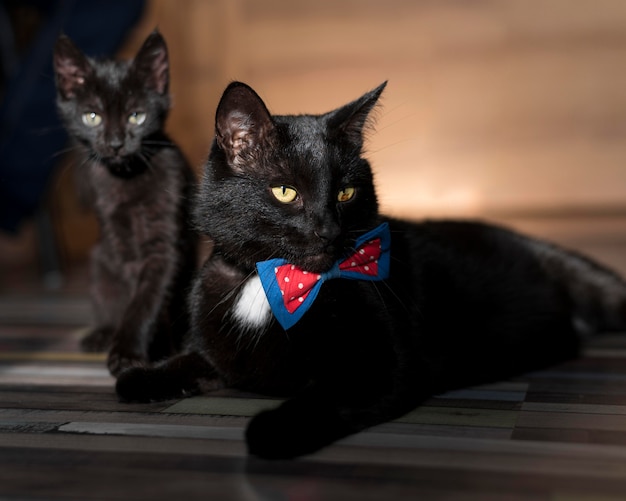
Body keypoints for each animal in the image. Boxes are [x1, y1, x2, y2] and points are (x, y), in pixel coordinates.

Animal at [53, 30, 196, 376]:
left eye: (136, 116)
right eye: (92, 117)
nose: (116, 144)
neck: (125, 178)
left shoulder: (164, 242)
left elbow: (147, 297)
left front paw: (133, 353)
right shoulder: (116, 236)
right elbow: (131, 295)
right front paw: (130, 344)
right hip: (99, 261)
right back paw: (101, 334)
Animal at [116, 81, 624, 458]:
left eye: (346, 192)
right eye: (285, 191)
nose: (326, 228)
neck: (268, 279)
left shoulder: (381, 367)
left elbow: (321, 397)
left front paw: (270, 430)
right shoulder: (221, 347)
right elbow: (194, 359)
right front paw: (143, 375)